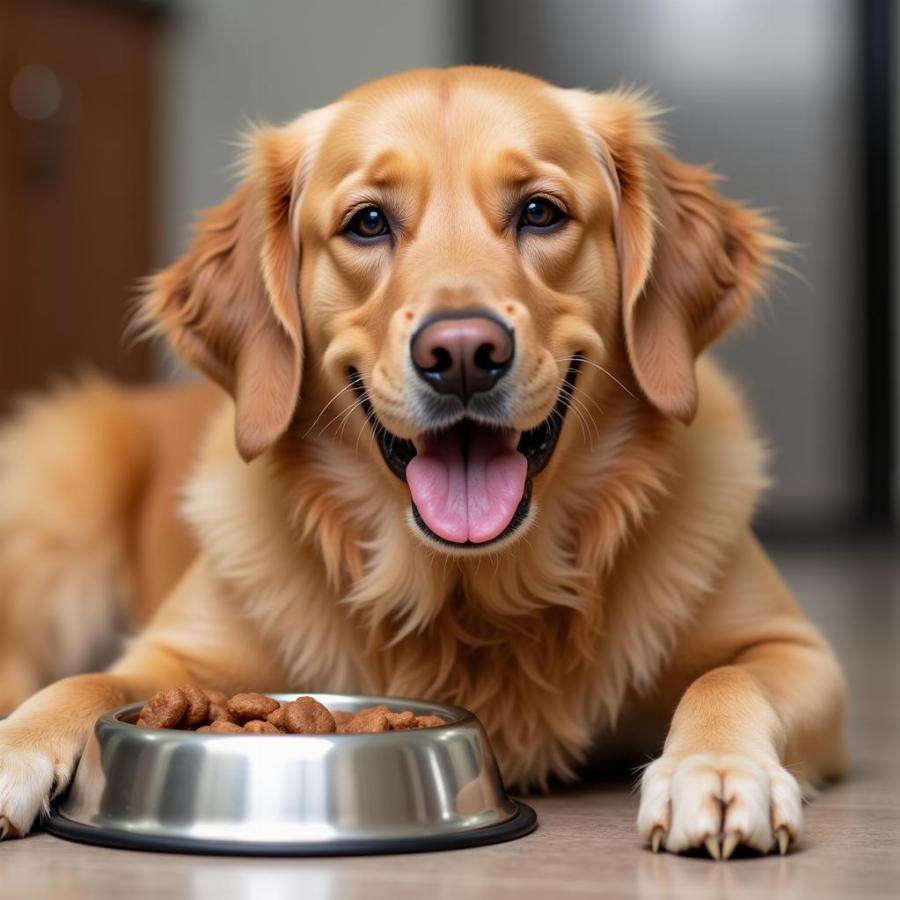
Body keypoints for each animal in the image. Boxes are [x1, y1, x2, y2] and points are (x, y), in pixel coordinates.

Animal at [0, 67, 848, 856]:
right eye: (368, 222)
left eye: (541, 211)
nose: (464, 354)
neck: (473, 595)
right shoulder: (175, 654)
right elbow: (85, 680)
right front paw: (13, 747)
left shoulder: (799, 652)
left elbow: (728, 676)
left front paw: (719, 769)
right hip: (69, 470)